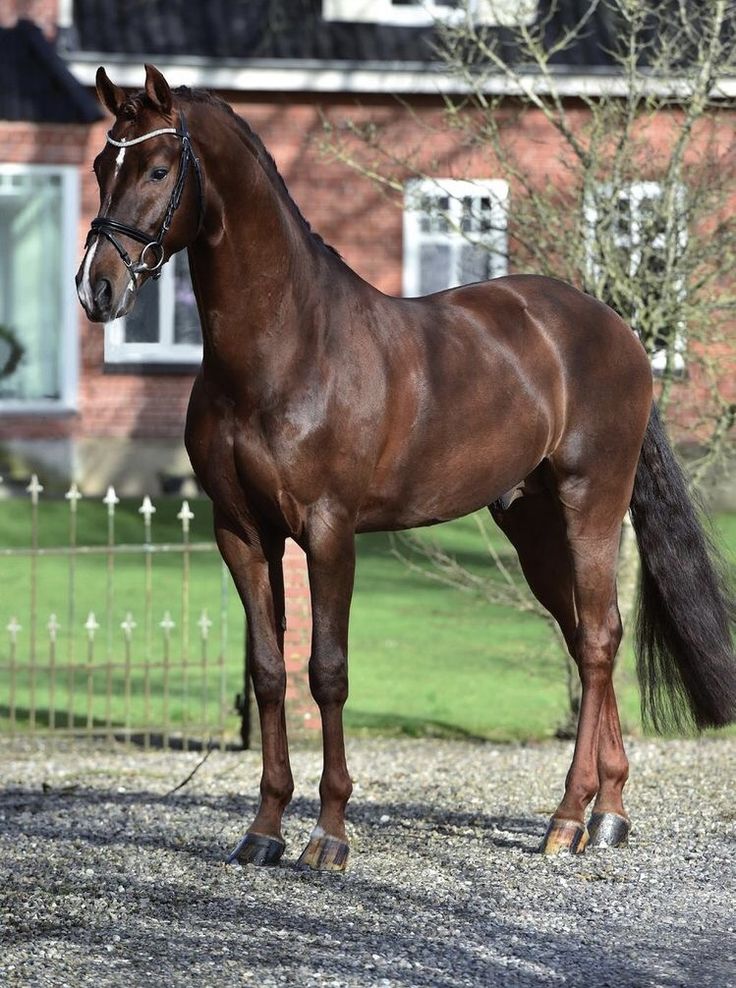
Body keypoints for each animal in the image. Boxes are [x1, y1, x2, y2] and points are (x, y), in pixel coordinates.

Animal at [76, 67, 736, 872]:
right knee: (587, 640)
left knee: (602, 639)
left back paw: (566, 819)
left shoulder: (330, 532)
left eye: (159, 169)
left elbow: (327, 671)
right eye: (102, 166)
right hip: (533, 525)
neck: (287, 347)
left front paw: (329, 835)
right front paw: (264, 830)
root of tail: (619, 330)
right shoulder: (241, 532)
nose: (97, 288)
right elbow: (268, 672)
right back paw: (606, 813)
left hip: (592, 506)